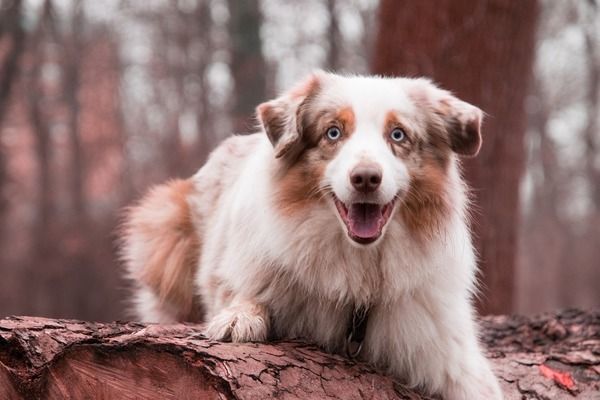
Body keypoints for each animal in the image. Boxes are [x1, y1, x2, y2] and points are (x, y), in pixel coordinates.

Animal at [120, 70, 502, 398]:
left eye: (398, 135)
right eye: (333, 132)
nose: (365, 178)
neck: (359, 268)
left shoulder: (451, 358)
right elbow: (243, 293)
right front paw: (239, 317)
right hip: (165, 230)